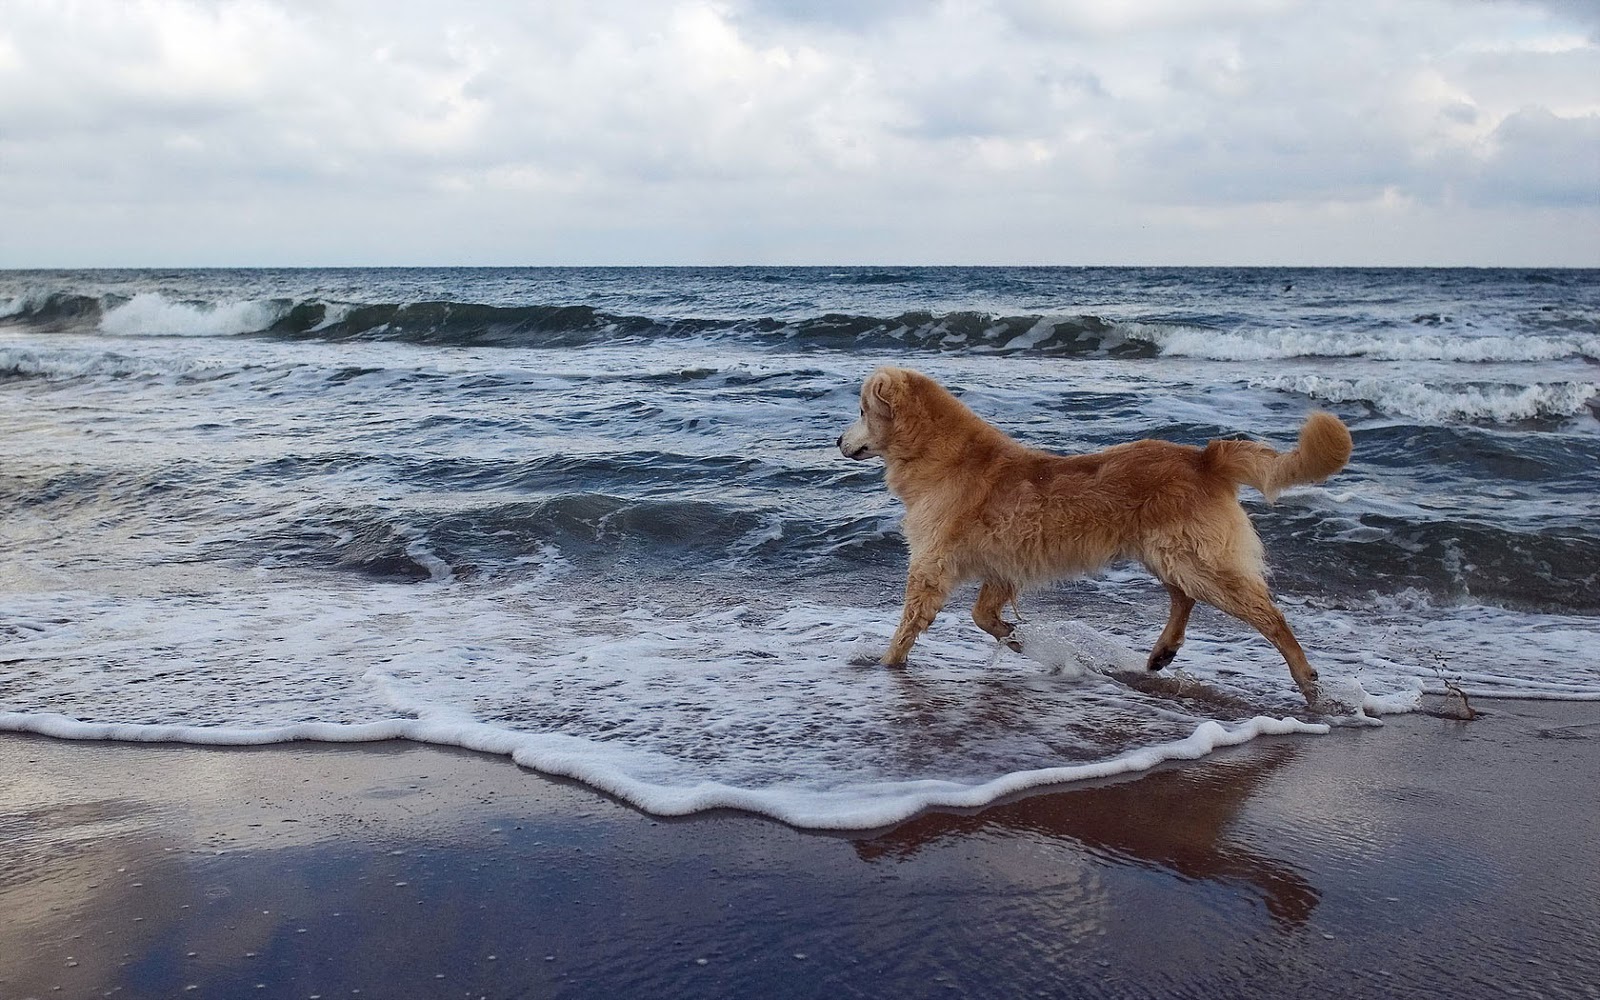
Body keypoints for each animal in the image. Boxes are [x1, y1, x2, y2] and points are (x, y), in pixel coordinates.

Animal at [838, 364, 1350, 700]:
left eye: (861, 411)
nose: (837, 441)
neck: (941, 455)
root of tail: (1204, 457)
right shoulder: (1001, 566)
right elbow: (983, 616)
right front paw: (1019, 638)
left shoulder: (931, 564)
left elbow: (910, 624)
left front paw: (887, 664)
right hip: (1166, 553)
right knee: (1183, 597)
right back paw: (1162, 653)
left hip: (1195, 558)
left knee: (1268, 615)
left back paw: (1305, 676)